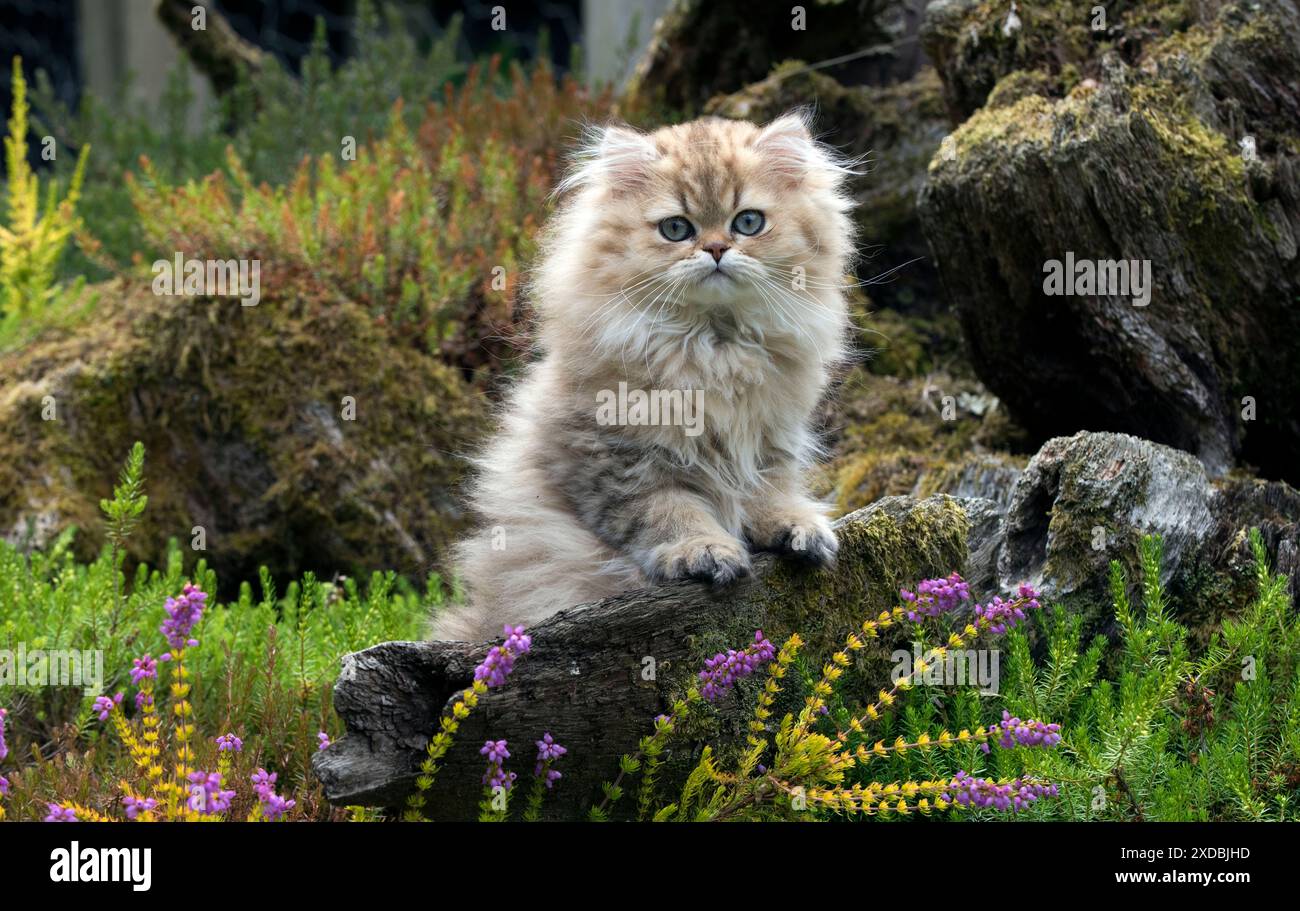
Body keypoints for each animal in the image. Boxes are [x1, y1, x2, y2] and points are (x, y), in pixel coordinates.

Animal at [436, 111, 857, 639]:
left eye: (748, 222)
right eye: (676, 228)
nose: (716, 249)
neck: (713, 347)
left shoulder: (768, 437)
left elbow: (769, 491)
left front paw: (796, 527)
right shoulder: (618, 458)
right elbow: (668, 511)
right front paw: (704, 551)